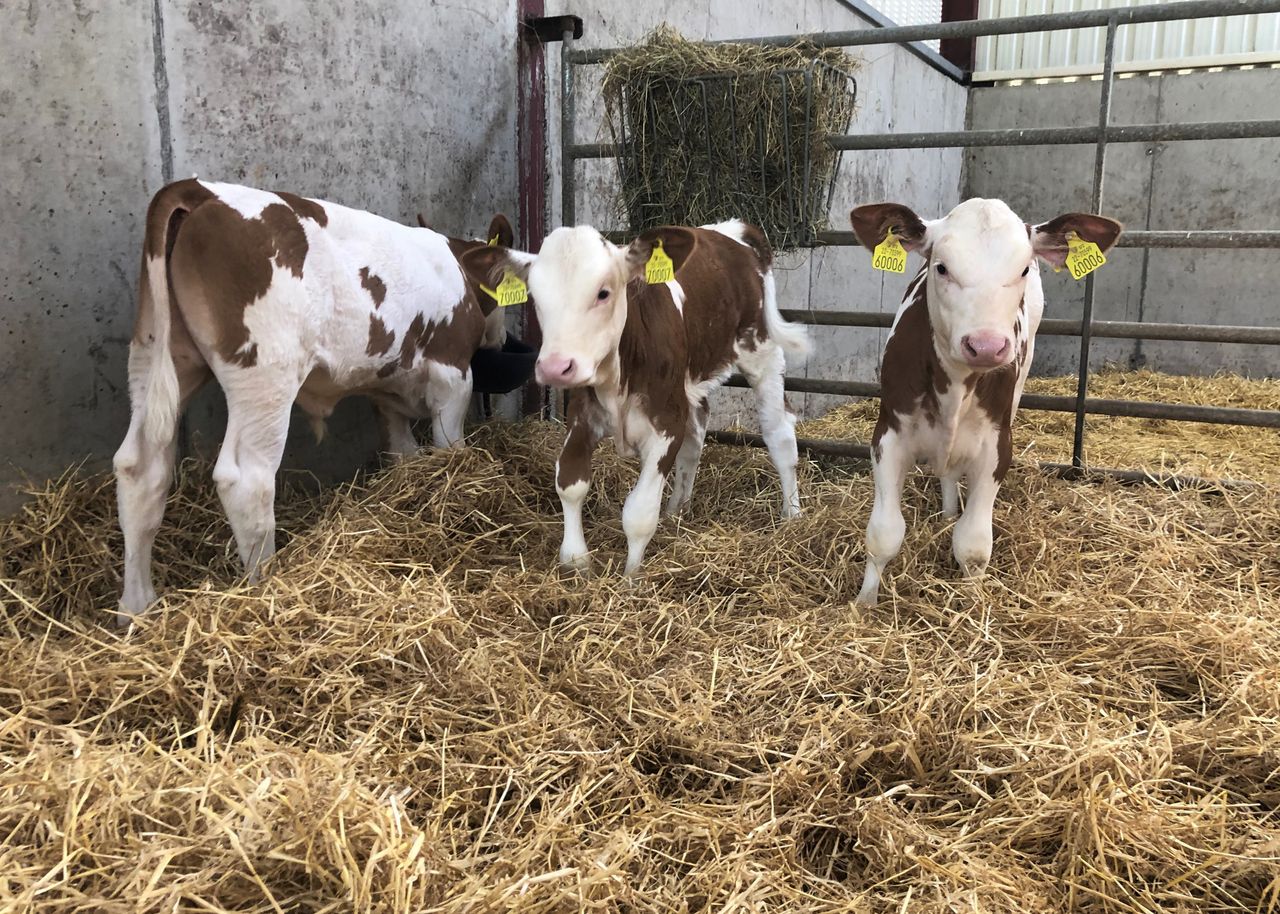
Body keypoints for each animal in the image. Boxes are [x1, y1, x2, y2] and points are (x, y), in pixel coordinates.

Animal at [113, 178, 516, 625]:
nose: (501, 338)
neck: (456, 268)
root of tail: (200, 189)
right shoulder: (453, 374)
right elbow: (449, 447)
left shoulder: (388, 388)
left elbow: (403, 451)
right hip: (266, 372)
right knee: (246, 480)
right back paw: (264, 588)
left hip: (159, 354)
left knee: (139, 468)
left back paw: (136, 609)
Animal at [458, 219, 811, 575]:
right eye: (536, 297)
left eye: (603, 292)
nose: (556, 367)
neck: (617, 380)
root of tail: (733, 228)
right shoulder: (581, 415)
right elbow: (570, 484)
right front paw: (576, 563)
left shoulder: (666, 424)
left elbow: (639, 513)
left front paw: (631, 576)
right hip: (691, 382)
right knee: (697, 434)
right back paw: (677, 511)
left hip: (761, 351)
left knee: (779, 433)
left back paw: (792, 516)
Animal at [848, 198, 1122, 606]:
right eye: (941, 267)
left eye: (1023, 268)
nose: (986, 345)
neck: (954, 386)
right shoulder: (888, 435)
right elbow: (883, 533)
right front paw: (864, 602)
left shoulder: (996, 446)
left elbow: (974, 545)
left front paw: (973, 601)